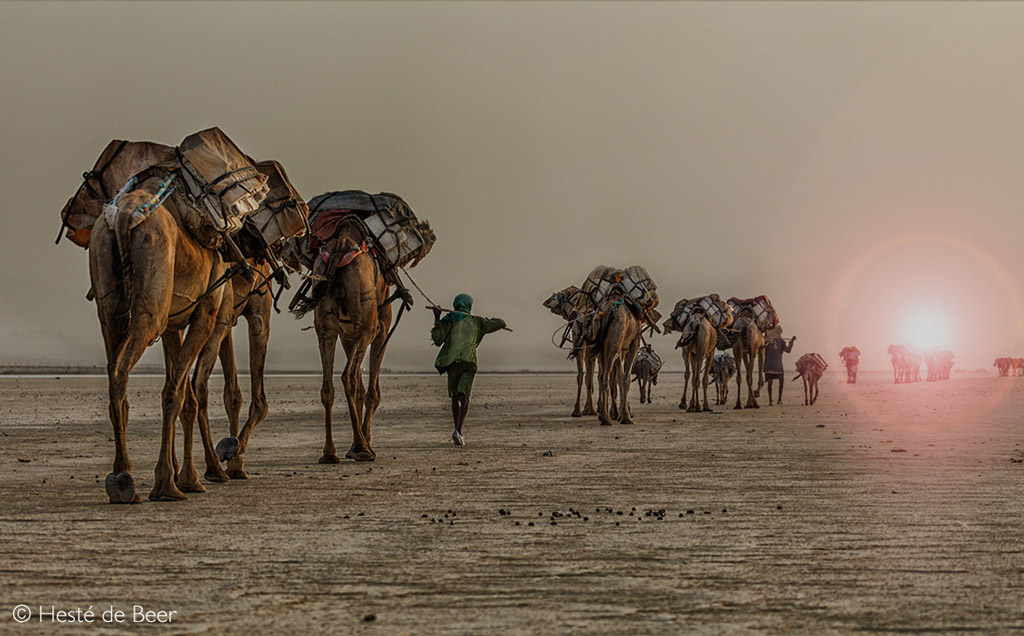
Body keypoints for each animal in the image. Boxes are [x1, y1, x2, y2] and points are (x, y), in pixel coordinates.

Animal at [544, 286, 598, 415]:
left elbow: (584, 375)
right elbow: (590, 377)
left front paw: (583, 409)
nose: (546, 303)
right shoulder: (591, 350)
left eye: (554, 298)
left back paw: (577, 410)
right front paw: (589, 409)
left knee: (581, 374)